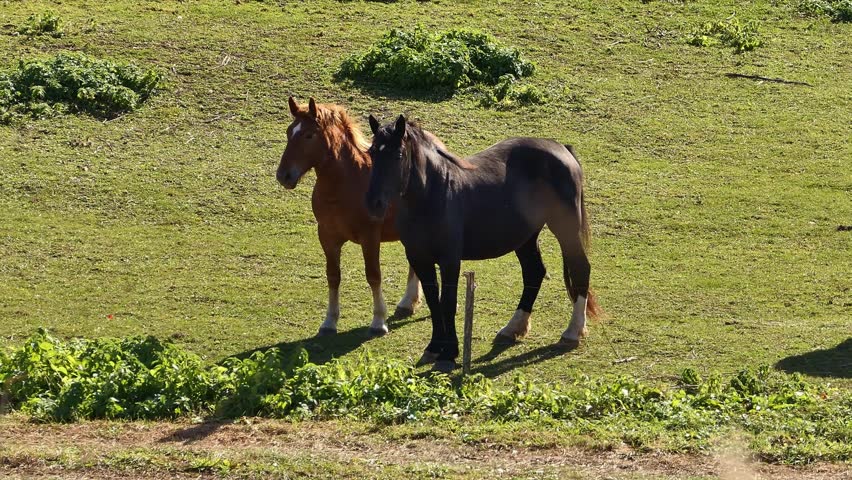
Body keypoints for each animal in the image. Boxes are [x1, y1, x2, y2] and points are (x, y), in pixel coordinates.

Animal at [276, 98, 421, 338]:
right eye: (289, 132)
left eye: (308, 135)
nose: (283, 176)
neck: (345, 184)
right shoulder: (327, 236)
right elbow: (333, 276)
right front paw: (329, 322)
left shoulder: (369, 237)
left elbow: (373, 275)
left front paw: (378, 321)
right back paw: (407, 303)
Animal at [365, 114, 601, 372]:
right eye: (372, 153)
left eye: (398, 155)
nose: (374, 204)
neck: (434, 194)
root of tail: (562, 149)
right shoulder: (419, 257)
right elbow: (433, 301)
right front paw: (434, 348)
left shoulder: (450, 260)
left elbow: (448, 303)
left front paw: (449, 354)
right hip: (525, 238)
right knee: (534, 272)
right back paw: (513, 328)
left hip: (566, 229)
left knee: (580, 269)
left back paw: (572, 332)